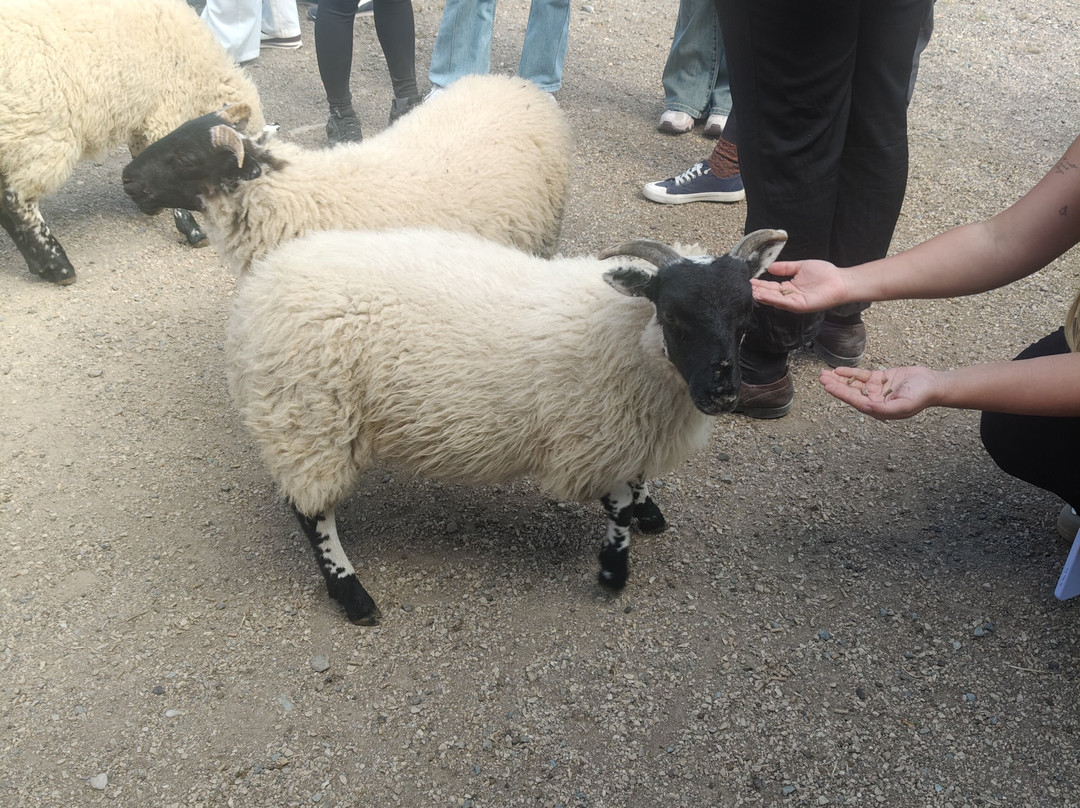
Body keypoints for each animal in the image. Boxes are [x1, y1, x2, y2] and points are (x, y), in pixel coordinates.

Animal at [0, 0, 265, 285]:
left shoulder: (145, 113)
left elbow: (142, 153)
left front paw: (148, 202)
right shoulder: (166, 111)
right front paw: (192, 231)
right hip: (38, 130)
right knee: (16, 200)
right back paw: (57, 265)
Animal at [225, 225, 788, 624]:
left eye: (747, 315)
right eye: (672, 315)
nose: (722, 393)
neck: (626, 339)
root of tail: (264, 282)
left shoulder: (626, 431)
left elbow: (638, 480)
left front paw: (649, 512)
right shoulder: (589, 439)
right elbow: (619, 507)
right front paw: (613, 570)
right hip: (309, 417)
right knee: (311, 512)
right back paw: (352, 594)